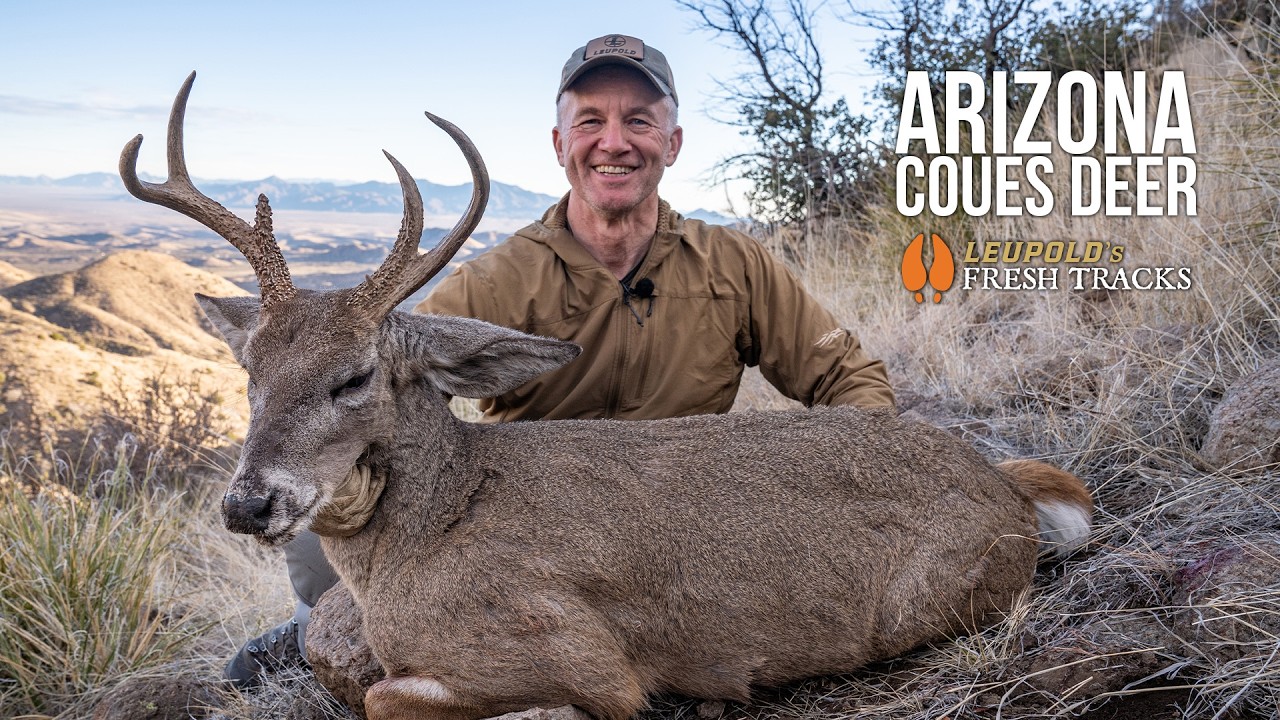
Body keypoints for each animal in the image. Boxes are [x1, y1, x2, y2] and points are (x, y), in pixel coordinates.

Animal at [120, 73, 1093, 720]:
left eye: (354, 375)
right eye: (250, 372)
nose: (248, 504)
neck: (429, 530)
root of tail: (1006, 484)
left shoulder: (576, 648)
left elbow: (389, 696)